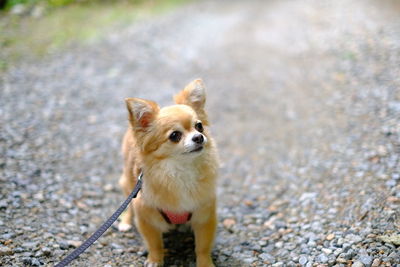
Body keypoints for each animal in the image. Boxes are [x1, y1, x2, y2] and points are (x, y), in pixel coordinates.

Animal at [118, 79, 219, 267]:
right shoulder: (146, 218)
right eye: (174, 135)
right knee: (128, 204)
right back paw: (125, 222)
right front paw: (155, 260)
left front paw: (205, 263)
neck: (181, 171)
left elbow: (202, 247)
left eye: (199, 126)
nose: (199, 137)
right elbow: (155, 244)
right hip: (128, 183)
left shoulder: (205, 215)